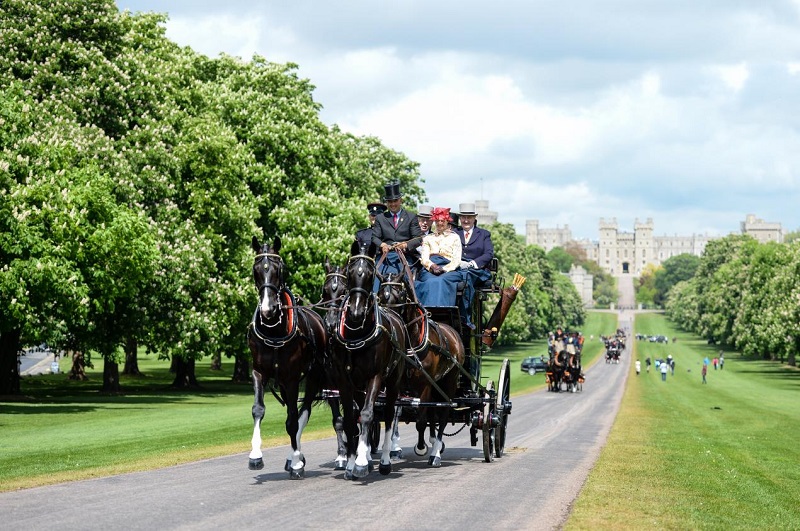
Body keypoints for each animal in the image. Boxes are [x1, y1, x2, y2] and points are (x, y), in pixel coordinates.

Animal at [248, 237, 330, 478]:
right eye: (256, 270)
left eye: (278, 269)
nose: (268, 309)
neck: (275, 331)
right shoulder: (259, 372)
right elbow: (258, 409)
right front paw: (255, 455)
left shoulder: (293, 378)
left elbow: (294, 419)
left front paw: (295, 462)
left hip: (313, 377)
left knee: (304, 411)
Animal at [332, 241, 406, 478]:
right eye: (350, 272)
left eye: (370, 273)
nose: (355, 312)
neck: (357, 333)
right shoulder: (344, 381)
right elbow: (350, 419)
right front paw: (350, 462)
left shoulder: (376, 377)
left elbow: (366, 415)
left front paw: (362, 463)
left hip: (394, 381)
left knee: (390, 414)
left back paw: (384, 460)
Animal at [378, 272, 466, 468]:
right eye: (380, 293)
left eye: (400, 293)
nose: (389, 319)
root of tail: (454, 333)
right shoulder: (399, 385)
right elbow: (395, 414)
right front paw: (393, 449)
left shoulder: (424, 385)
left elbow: (421, 420)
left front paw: (421, 447)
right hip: (436, 384)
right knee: (434, 411)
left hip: (448, 382)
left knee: (442, 414)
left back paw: (435, 453)